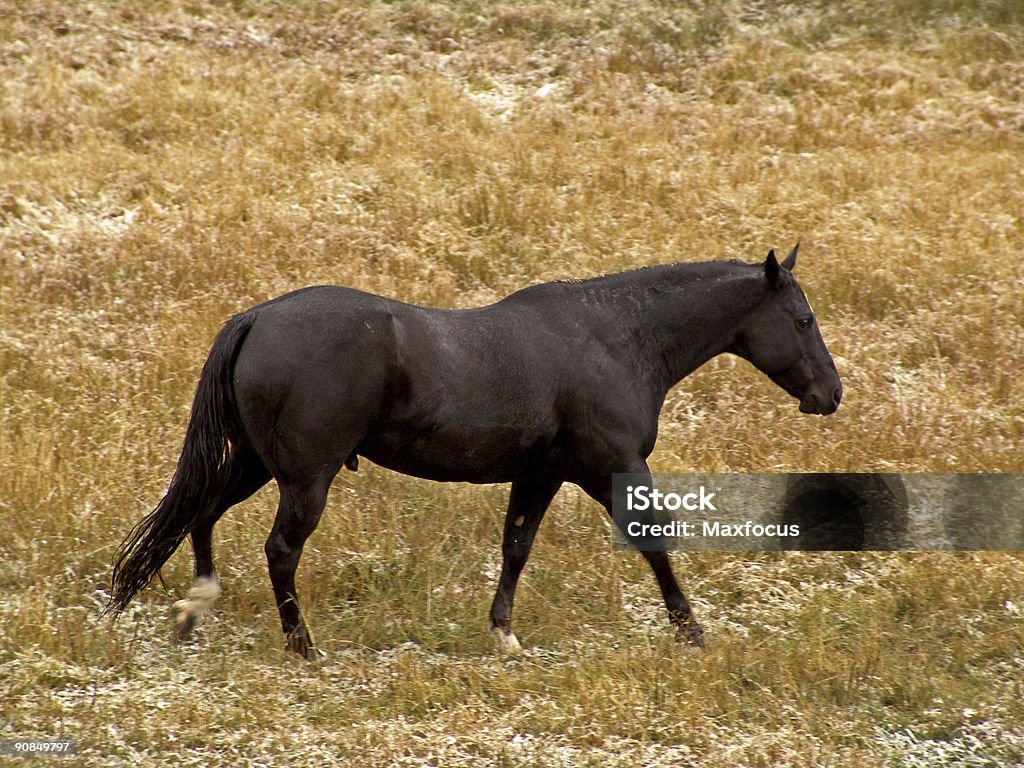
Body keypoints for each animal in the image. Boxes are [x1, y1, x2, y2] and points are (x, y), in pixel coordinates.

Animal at [107, 245, 841, 659]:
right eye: (802, 319)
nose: (830, 394)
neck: (617, 338)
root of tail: (255, 317)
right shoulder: (613, 468)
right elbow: (654, 543)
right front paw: (692, 634)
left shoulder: (542, 475)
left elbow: (515, 547)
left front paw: (504, 636)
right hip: (304, 479)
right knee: (279, 551)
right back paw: (303, 647)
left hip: (258, 464)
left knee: (200, 514)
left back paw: (193, 612)